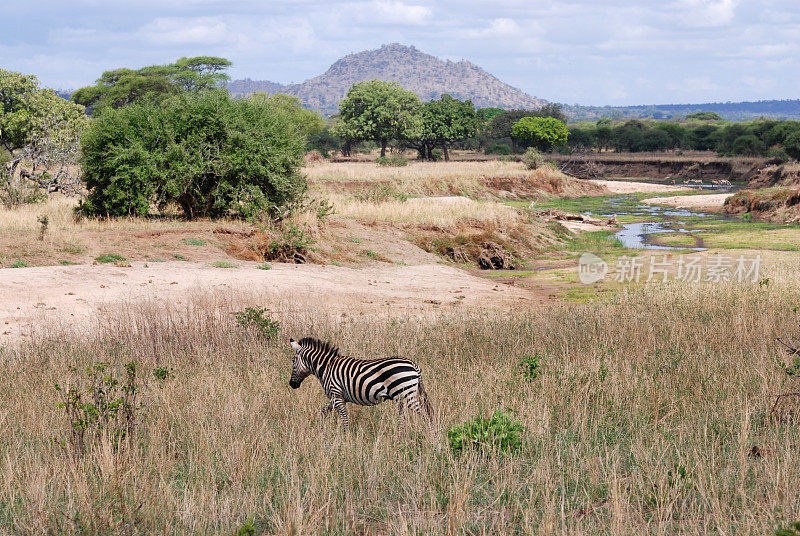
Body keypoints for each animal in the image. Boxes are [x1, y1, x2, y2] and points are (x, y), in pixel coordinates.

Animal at [290, 338, 432, 426]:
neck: (326, 367)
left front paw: (345, 439)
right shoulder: (336, 397)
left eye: (292, 361)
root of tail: (413, 365)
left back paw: (432, 436)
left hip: (407, 394)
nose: (292, 385)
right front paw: (319, 426)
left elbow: (344, 419)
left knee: (425, 414)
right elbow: (323, 411)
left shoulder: (337, 395)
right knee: (403, 418)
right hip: (401, 396)